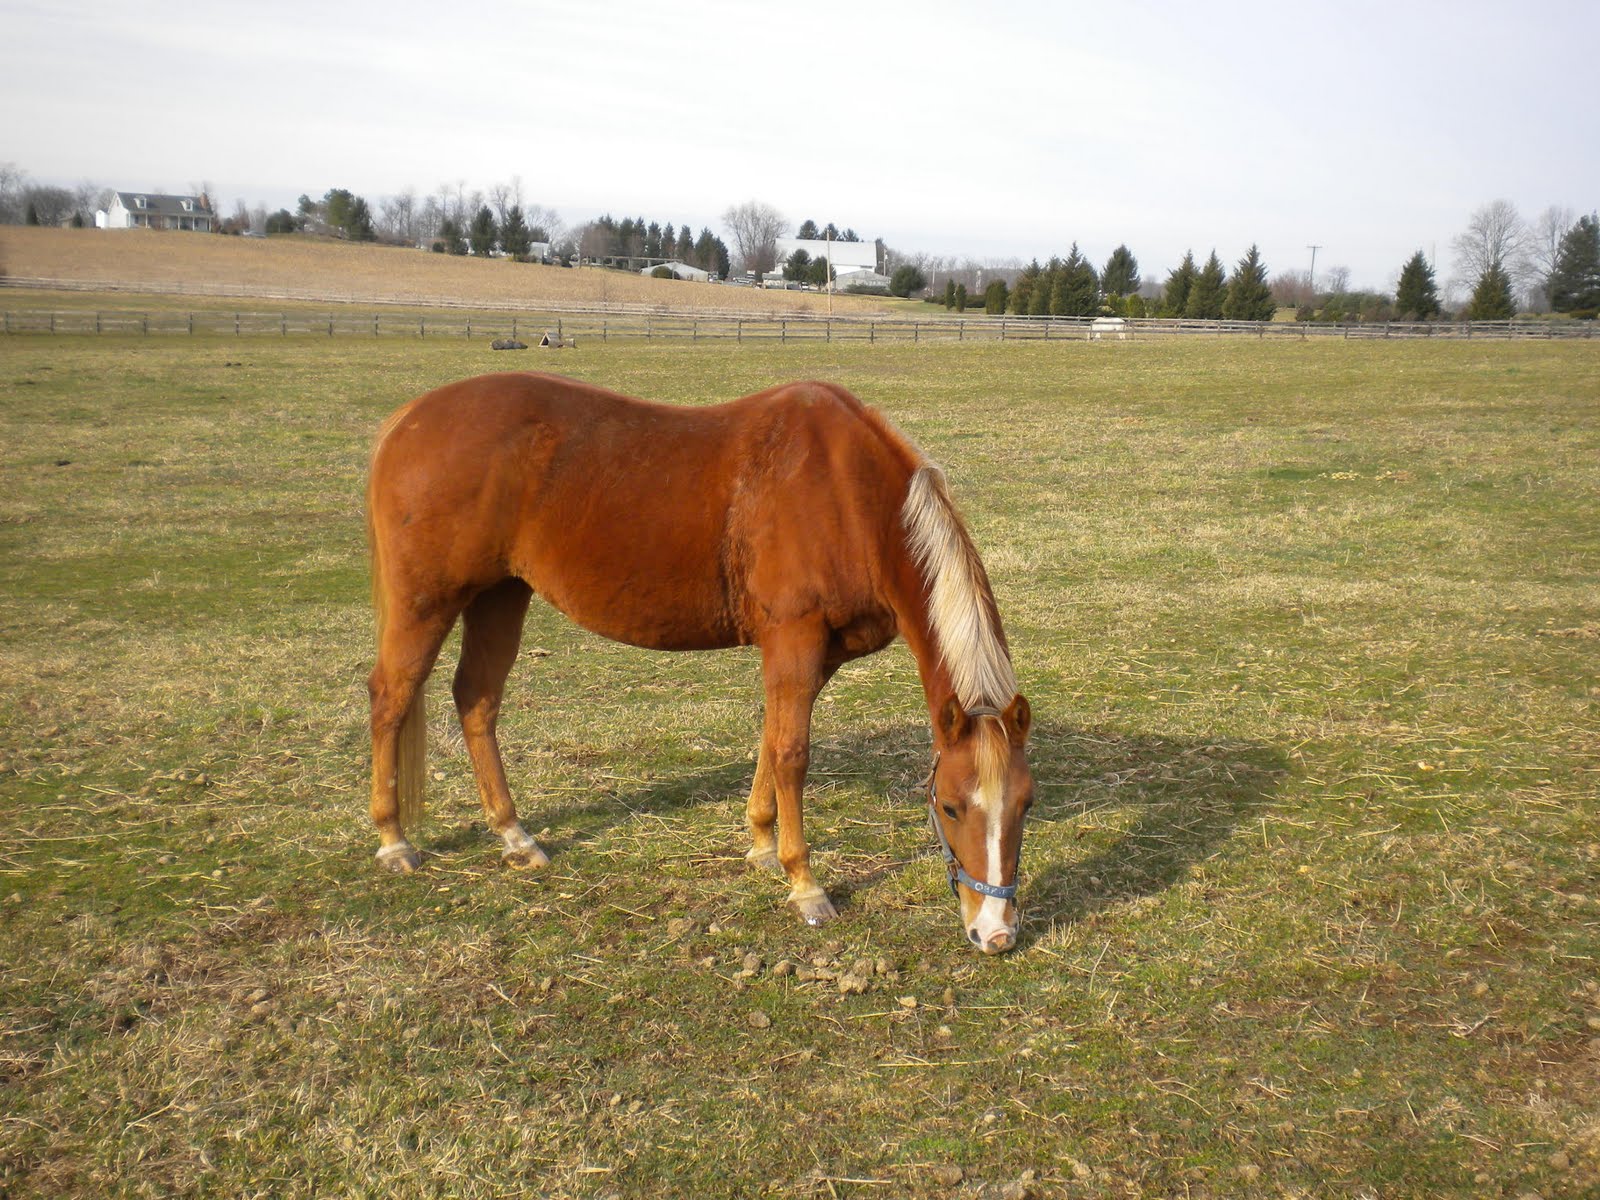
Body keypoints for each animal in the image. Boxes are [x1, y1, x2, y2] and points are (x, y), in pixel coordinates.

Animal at [365, 372, 1034, 953]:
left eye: (1025, 804)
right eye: (950, 806)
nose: (995, 933)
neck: (846, 492)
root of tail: (410, 418)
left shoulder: (816, 654)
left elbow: (772, 738)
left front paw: (761, 842)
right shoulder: (793, 639)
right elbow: (792, 753)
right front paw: (804, 884)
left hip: (500, 595)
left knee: (476, 699)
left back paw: (514, 834)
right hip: (427, 604)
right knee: (392, 696)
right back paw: (394, 841)